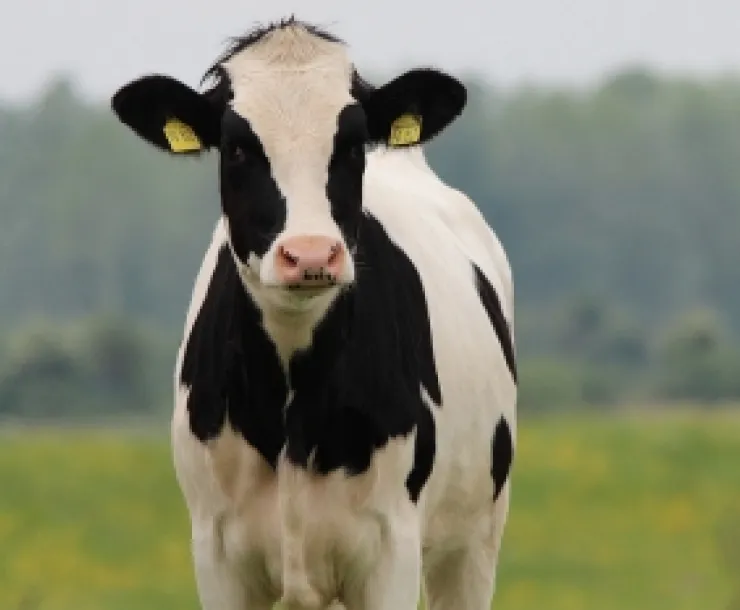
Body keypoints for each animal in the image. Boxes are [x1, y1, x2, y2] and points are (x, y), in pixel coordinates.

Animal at [111, 16, 517, 610]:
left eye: (350, 145)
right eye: (237, 148)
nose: (309, 254)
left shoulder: (392, 548)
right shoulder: (216, 553)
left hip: (474, 539)